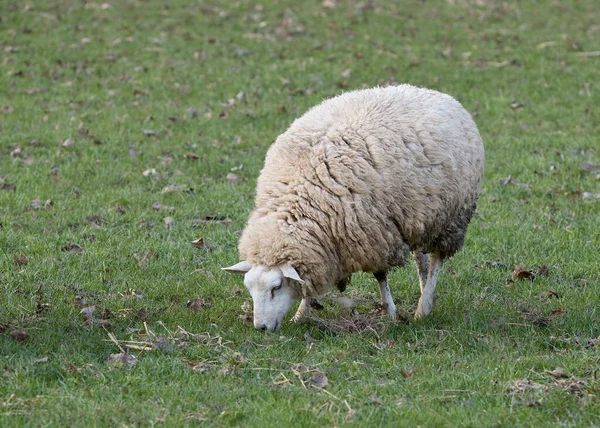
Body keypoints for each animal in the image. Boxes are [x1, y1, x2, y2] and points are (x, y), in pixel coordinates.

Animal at [224, 83, 482, 332]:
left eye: (276, 287)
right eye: (249, 287)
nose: (261, 327)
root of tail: (435, 93)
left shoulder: (374, 233)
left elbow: (380, 275)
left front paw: (390, 312)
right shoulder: (326, 247)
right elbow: (307, 282)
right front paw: (300, 314)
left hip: (452, 219)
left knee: (437, 260)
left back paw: (424, 306)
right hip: (421, 215)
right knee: (422, 260)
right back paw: (423, 293)